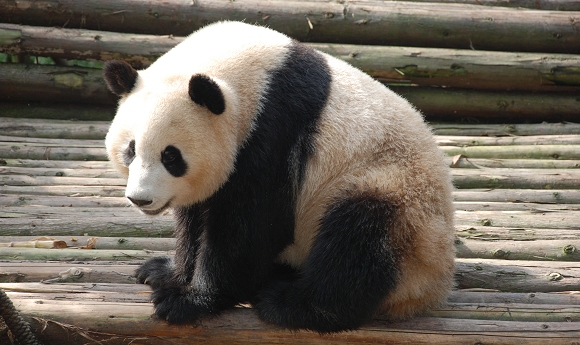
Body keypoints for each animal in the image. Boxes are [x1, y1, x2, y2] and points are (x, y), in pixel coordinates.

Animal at [104, 20, 456, 332]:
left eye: (171, 156)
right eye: (130, 150)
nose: (140, 199)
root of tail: (434, 288)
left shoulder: (275, 132)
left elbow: (254, 225)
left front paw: (188, 300)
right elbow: (196, 217)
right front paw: (164, 273)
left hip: (400, 200)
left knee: (358, 240)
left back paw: (289, 303)